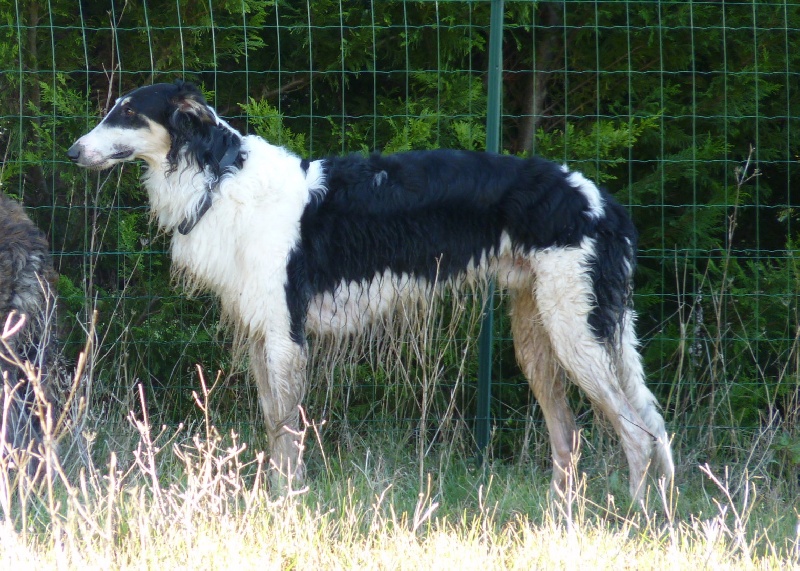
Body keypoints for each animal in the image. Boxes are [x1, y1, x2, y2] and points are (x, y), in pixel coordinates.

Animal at [68, 80, 674, 501]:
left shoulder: (285, 338)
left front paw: (287, 507)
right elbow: (274, 431)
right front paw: (273, 503)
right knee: (575, 436)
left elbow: (287, 438)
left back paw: (631, 520)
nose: (73, 152)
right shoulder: (263, 338)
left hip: (577, 335)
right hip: (540, 337)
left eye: (128, 112)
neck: (221, 177)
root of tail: (602, 200)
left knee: (638, 435)